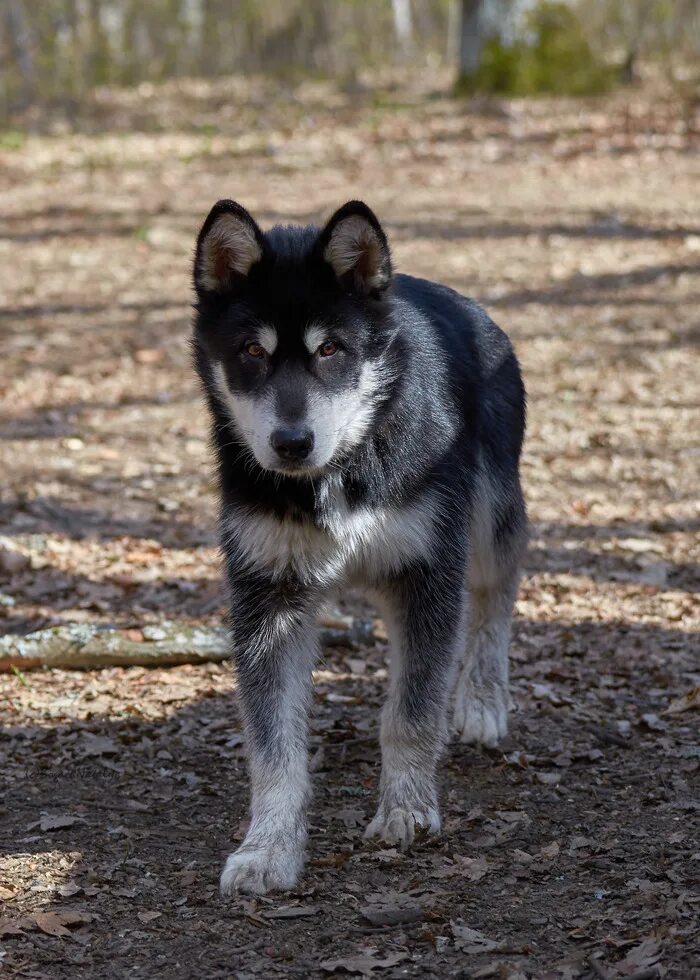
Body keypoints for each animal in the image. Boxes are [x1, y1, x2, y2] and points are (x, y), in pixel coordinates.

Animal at [191, 199, 524, 896]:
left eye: (331, 349)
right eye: (252, 351)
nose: (292, 443)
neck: (346, 466)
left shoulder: (428, 574)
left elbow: (411, 713)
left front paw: (406, 810)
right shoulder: (268, 599)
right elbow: (274, 749)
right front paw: (268, 848)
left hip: (490, 520)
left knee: (495, 594)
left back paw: (482, 700)